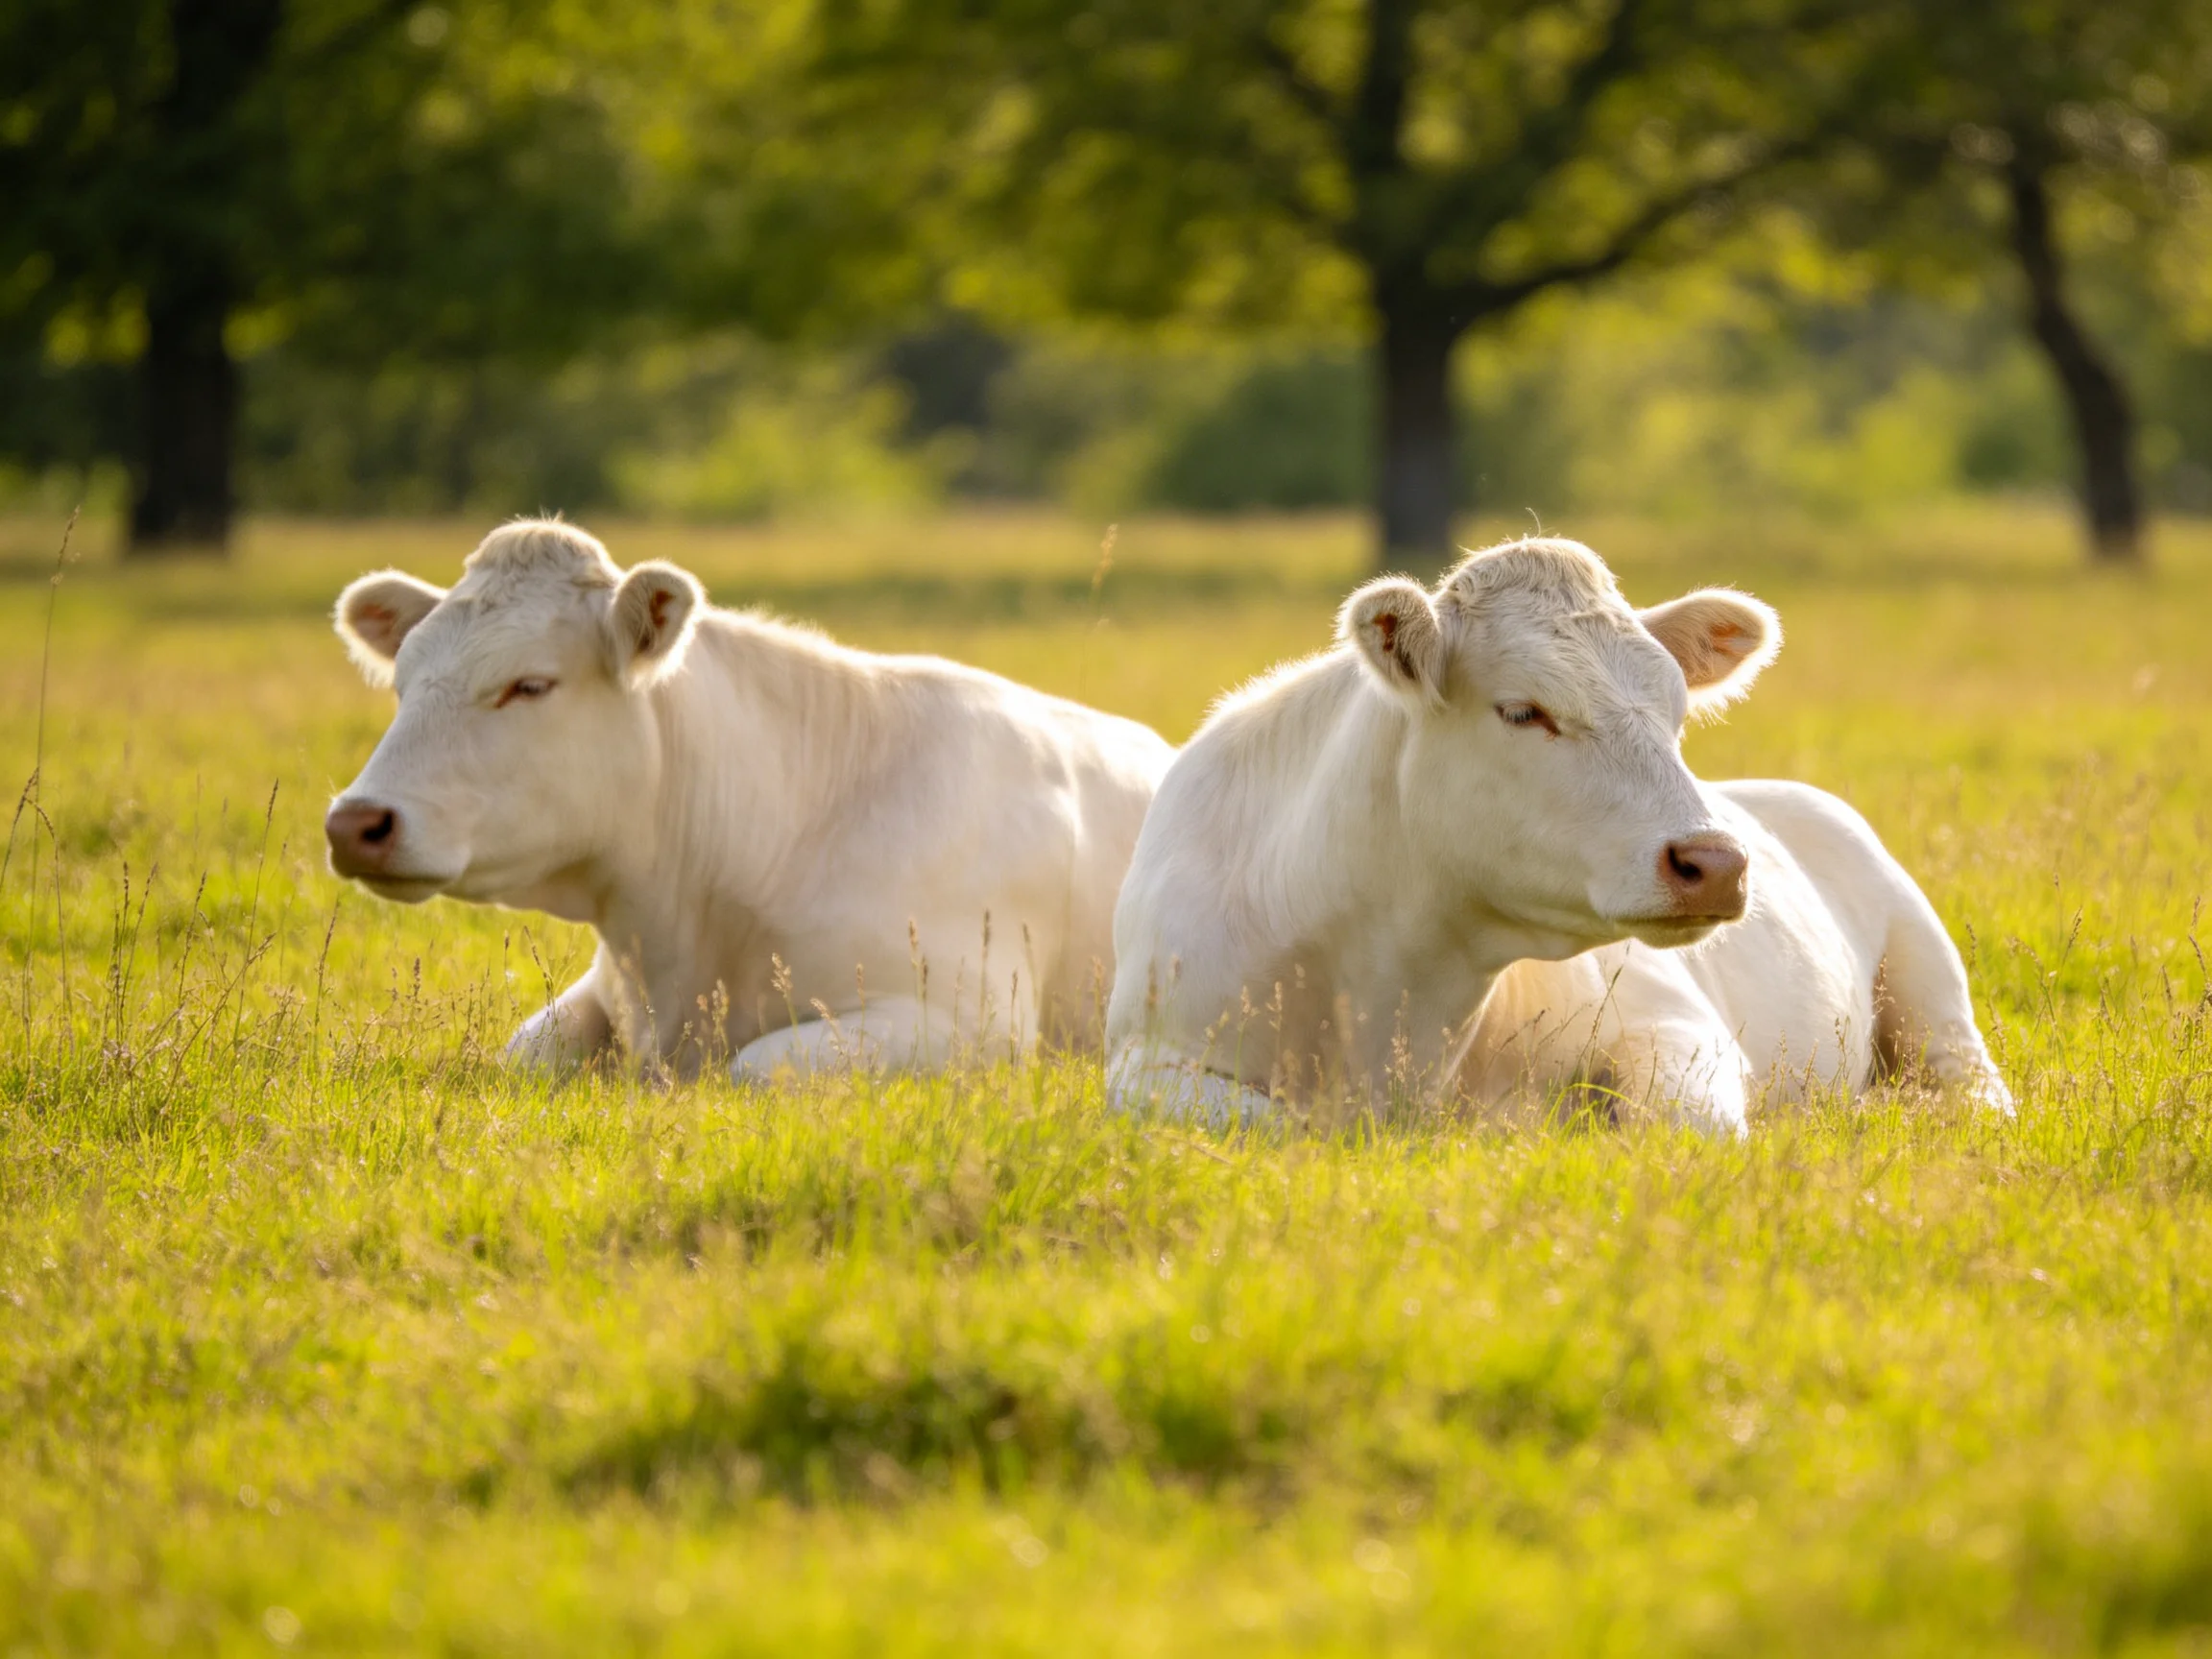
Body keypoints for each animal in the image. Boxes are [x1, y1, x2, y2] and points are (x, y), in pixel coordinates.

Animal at [325, 519, 1173, 1079]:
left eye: (530, 684)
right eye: (402, 683)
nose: (355, 822)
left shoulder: (969, 1021)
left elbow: (752, 1070)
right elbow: (526, 1055)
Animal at [1104, 535, 2010, 1132]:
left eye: (1677, 712)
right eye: (1522, 711)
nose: (1715, 861)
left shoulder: (1679, 1026)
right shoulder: (1145, 1058)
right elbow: (1274, 1123)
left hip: (1933, 996)